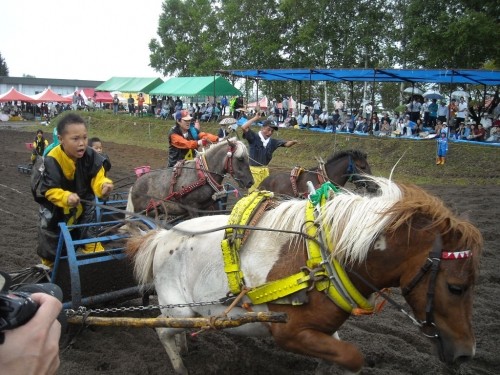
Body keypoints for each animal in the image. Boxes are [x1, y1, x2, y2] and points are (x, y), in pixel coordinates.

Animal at [127, 177, 482, 375]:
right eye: (456, 287)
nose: (467, 353)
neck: (322, 264)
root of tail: (162, 236)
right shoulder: (288, 333)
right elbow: (354, 357)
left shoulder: (324, 331)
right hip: (177, 308)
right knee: (163, 331)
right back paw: (180, 364)